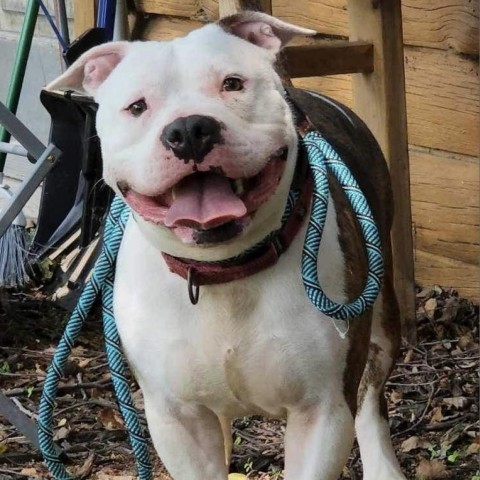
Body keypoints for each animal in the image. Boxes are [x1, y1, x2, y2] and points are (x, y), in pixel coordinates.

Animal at [48, 11, 406, 480]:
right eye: (137, 107)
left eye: (232, 84)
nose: (188, 129)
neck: (223, 270)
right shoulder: (175, 418)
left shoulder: (322, 412)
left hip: (381, 321)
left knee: (370, 398)